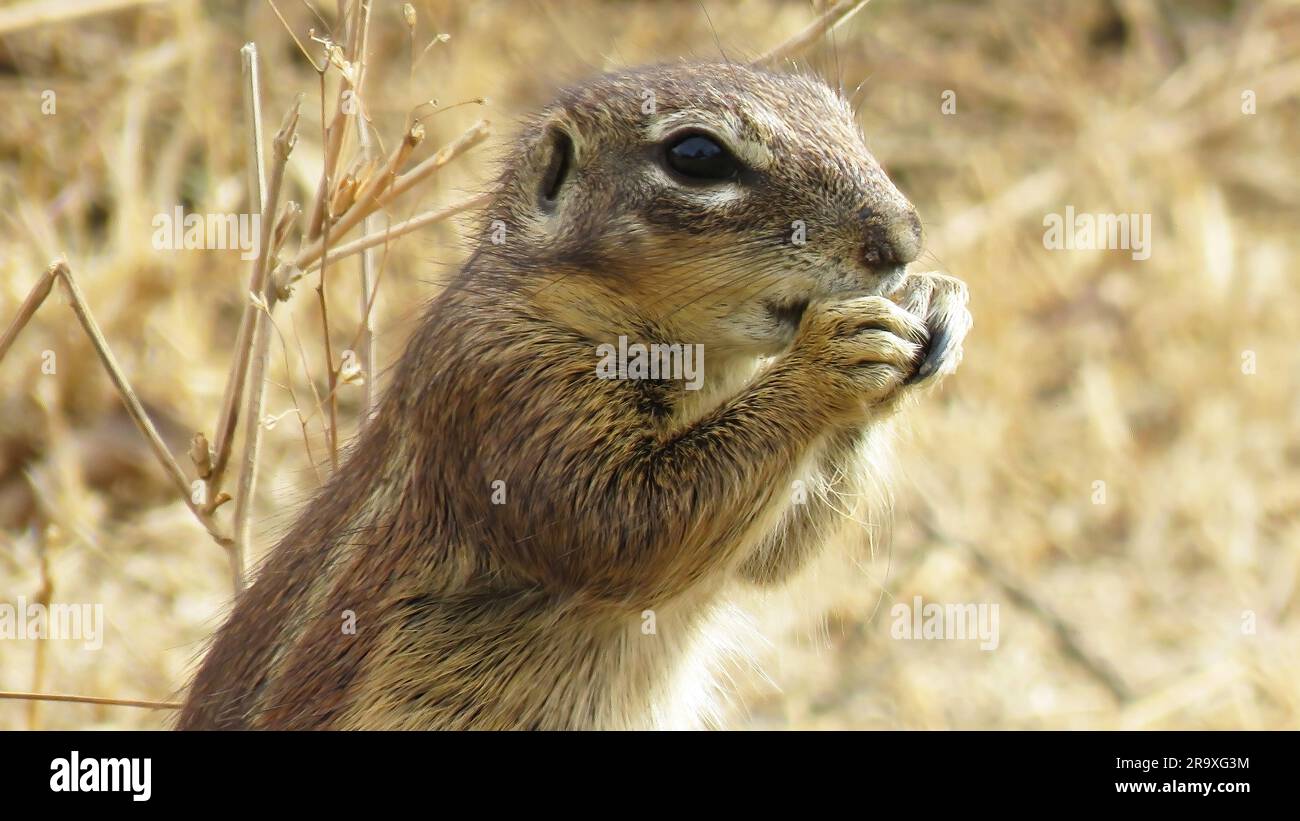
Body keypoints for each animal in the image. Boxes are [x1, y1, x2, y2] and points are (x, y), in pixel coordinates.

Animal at [183, 64, 977, 732]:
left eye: (842, 114)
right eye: (696, 156)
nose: (903, 239)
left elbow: (769, 558)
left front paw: (935, 302)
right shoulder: (502, 387)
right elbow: (622, 524)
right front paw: (830, 357)